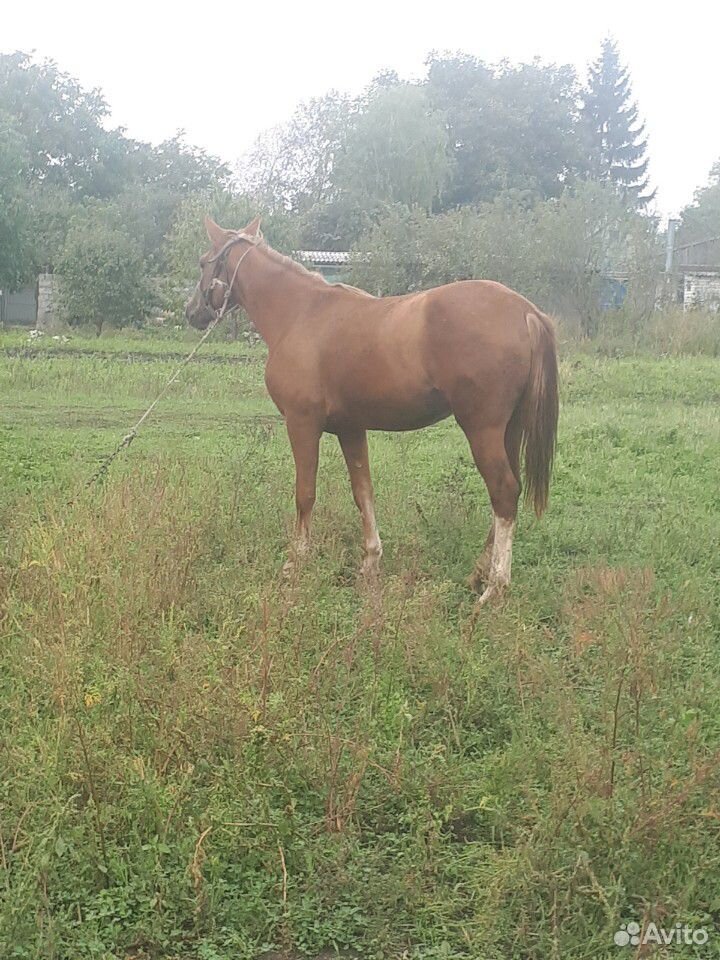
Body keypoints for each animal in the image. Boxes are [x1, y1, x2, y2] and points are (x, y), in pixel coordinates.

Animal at [184, 218, 556, 608]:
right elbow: (363, 493)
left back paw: (493, 588)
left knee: (503, 492)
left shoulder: (302, 423)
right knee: (508, 493)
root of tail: (525, 310)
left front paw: (294, 564)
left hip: (481, 429)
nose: (191, 312)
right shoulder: (351, 428)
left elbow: (305, 493)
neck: (301, 313)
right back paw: (478, 574)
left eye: (202, 262)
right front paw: (370, 563)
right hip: (508, 430)